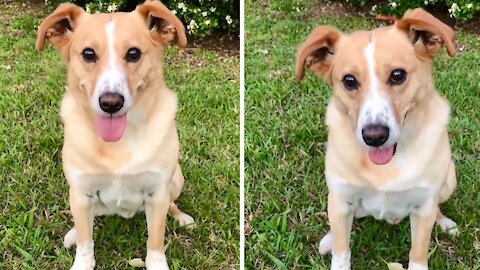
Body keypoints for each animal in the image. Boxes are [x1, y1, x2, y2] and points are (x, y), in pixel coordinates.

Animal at [35, 1, 193, 268]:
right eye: (88, 54)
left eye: (134, 53)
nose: (110, 103)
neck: (118, 144)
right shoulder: (81, 192)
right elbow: (86, 242)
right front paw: (82, 259)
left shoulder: (157, 193)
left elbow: (155, 241)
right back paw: (73, 233)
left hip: (175, 181)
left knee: (172, 203)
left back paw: (180, 217)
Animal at [296, 8, 458, 270]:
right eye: (349, 80)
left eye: (398, 75)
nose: (374, 136)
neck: (385, 166)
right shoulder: (341, 199)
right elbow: (342, 252)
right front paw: (335, 246)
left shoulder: (424, 207)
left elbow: (417, 254)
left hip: (448, 182)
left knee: (438, 206)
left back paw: (444, 222)